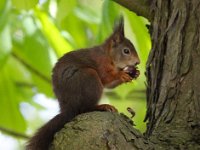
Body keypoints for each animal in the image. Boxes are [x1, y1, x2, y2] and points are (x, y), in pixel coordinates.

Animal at [25, 17, 140, 149]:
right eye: (126, 51)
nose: (138, 62)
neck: (108, 56)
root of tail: (68, 108)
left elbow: (109, 85)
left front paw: (134, 73)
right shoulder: (100, 63)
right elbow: (105, 78)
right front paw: (122, 74)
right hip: (89, 77)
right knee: (84, 108)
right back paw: (101, 106)